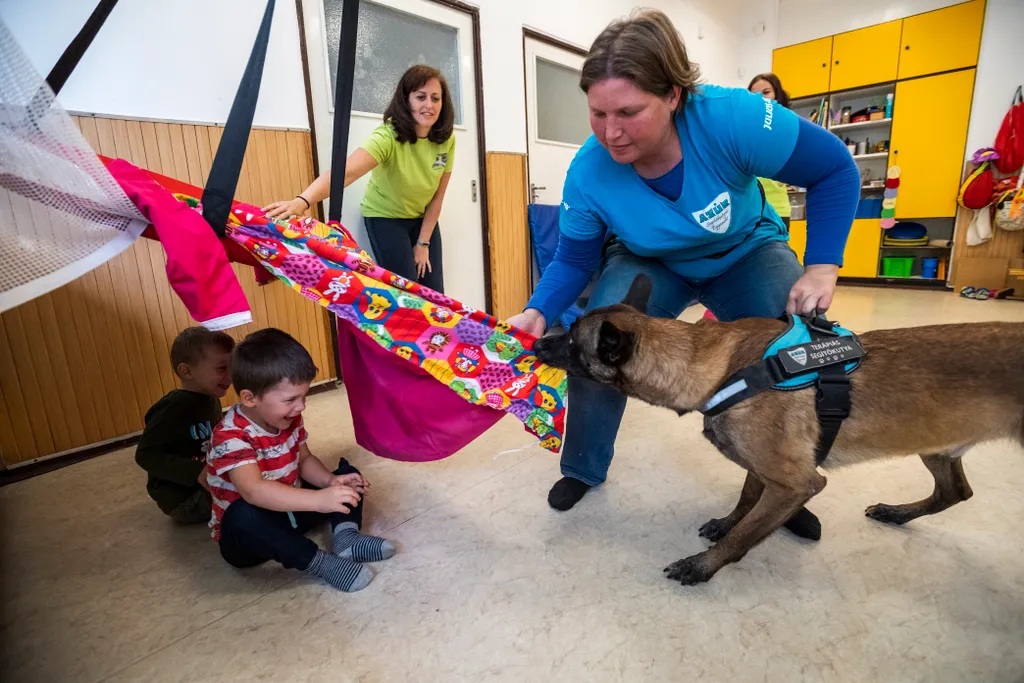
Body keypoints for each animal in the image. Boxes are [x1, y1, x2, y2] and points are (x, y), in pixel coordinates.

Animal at [536, 274, 1024, 585]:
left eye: (572, 340)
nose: (538, 340)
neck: (714, 366)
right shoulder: (765, 469)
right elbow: (746, 499)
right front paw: (725, 523)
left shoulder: (796, 483)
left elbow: (745, 534)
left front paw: (703, 567)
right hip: (937, 446)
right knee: (955, 492)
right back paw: (896, 513)